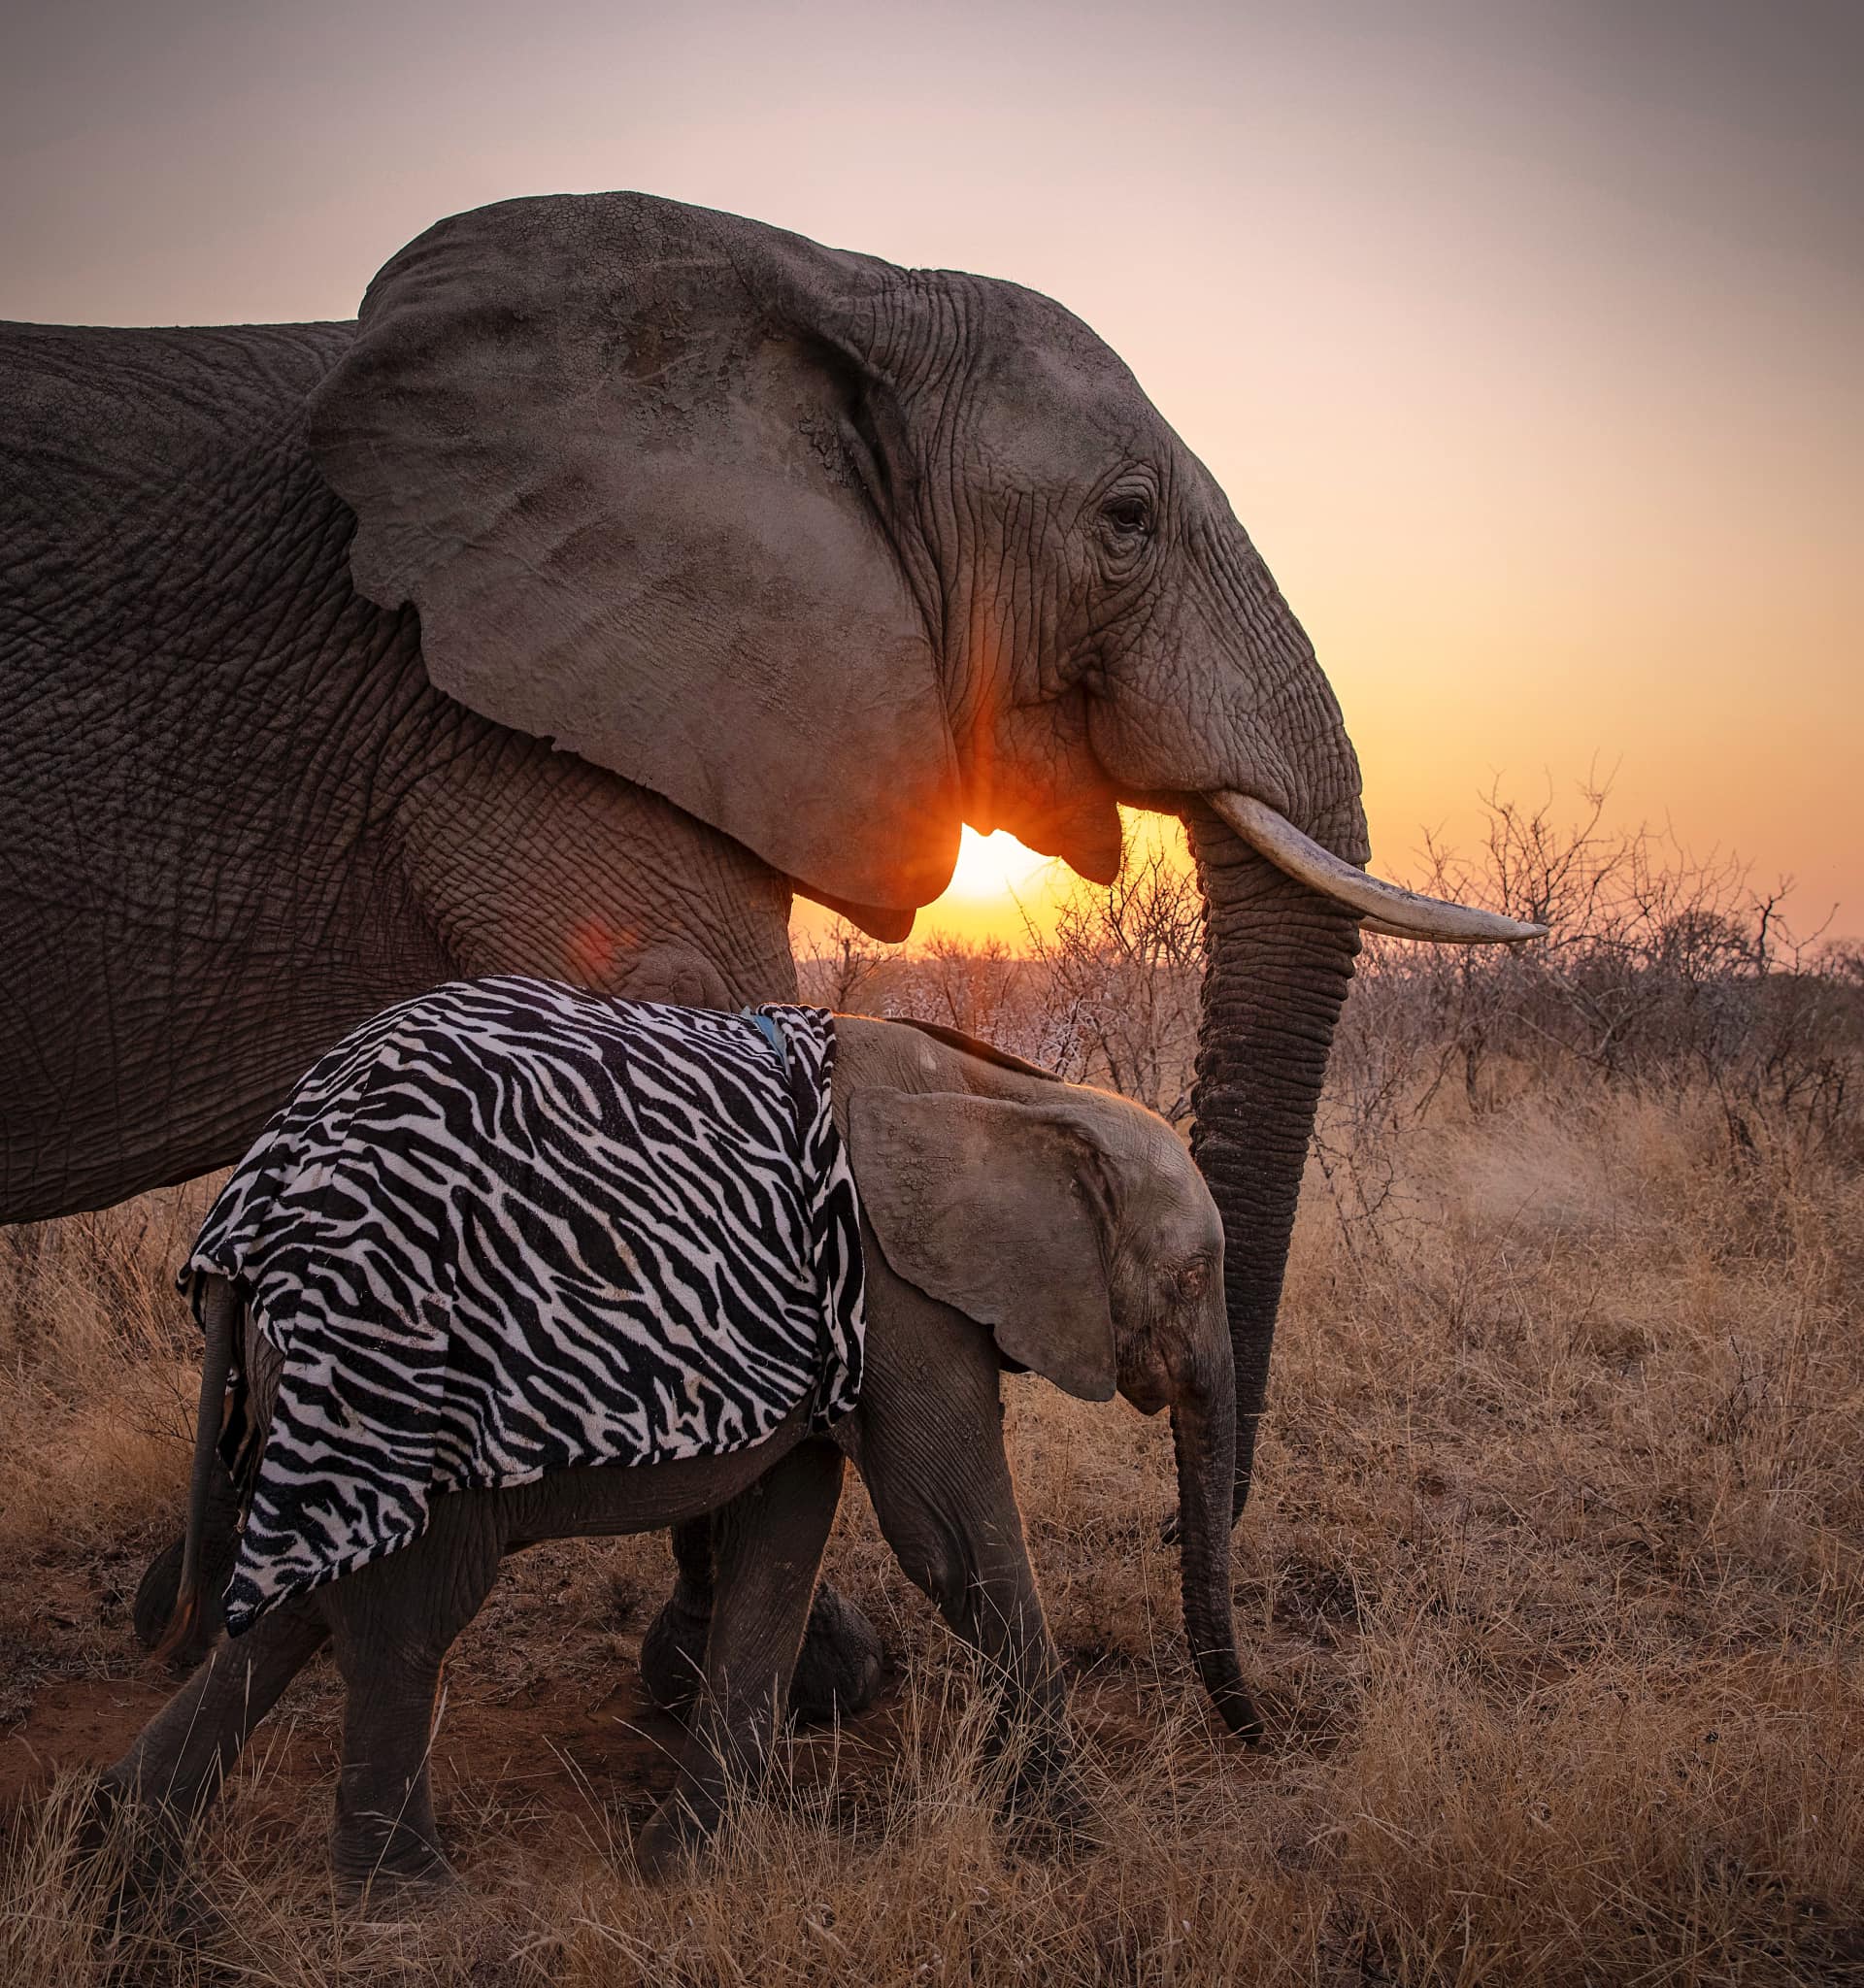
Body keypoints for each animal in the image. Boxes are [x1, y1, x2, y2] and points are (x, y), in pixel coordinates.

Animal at [0, 190, 1539, 1717]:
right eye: (1128, 520)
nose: (1232, 1673)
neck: (828, 283)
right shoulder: (519, 710)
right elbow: (684, 1030)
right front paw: (803, 1674)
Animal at [94, 1014, 1249, 1893]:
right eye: (1194, 1277)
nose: (1254, 1734)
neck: (1009, 1095)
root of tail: (245, 1229)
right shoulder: (898, 1296)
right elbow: (948, 1539)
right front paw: (1079, 1839)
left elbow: (786, 1532)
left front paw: (685, 1863)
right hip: (389, 1370)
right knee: (403, 1614)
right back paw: (407, 1903)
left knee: (307, 1605)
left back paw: (111, 1852)